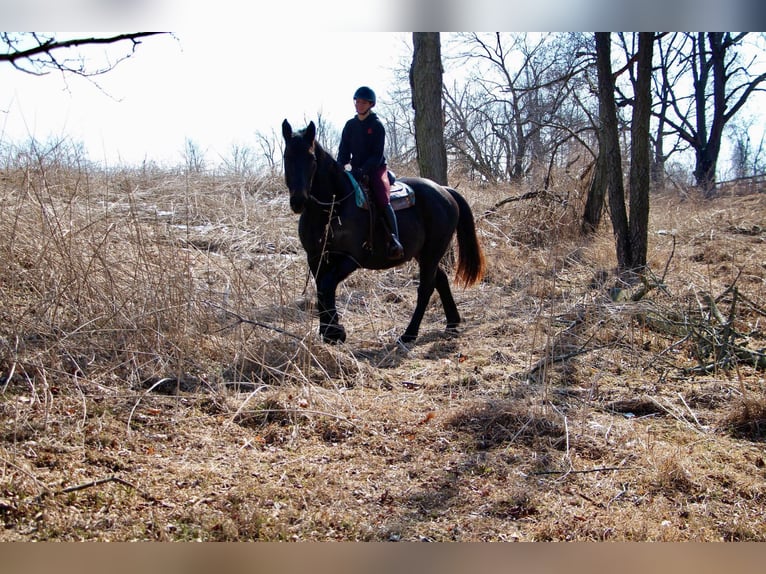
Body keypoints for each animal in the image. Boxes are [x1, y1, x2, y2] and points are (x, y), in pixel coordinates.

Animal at [282, 119, 486, 344]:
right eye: (286, 157)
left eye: (311, 159)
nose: (298, 200)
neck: (333, 208)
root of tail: (444, 191)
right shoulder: (316, 257)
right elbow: (321, 288)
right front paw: (329, 332)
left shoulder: (352, 258)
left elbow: (327, 286)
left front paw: (335, 331)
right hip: (424, 254)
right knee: (440, 280)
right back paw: (451, 323)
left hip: (432, 252)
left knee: (426, 288)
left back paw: (409, 333)